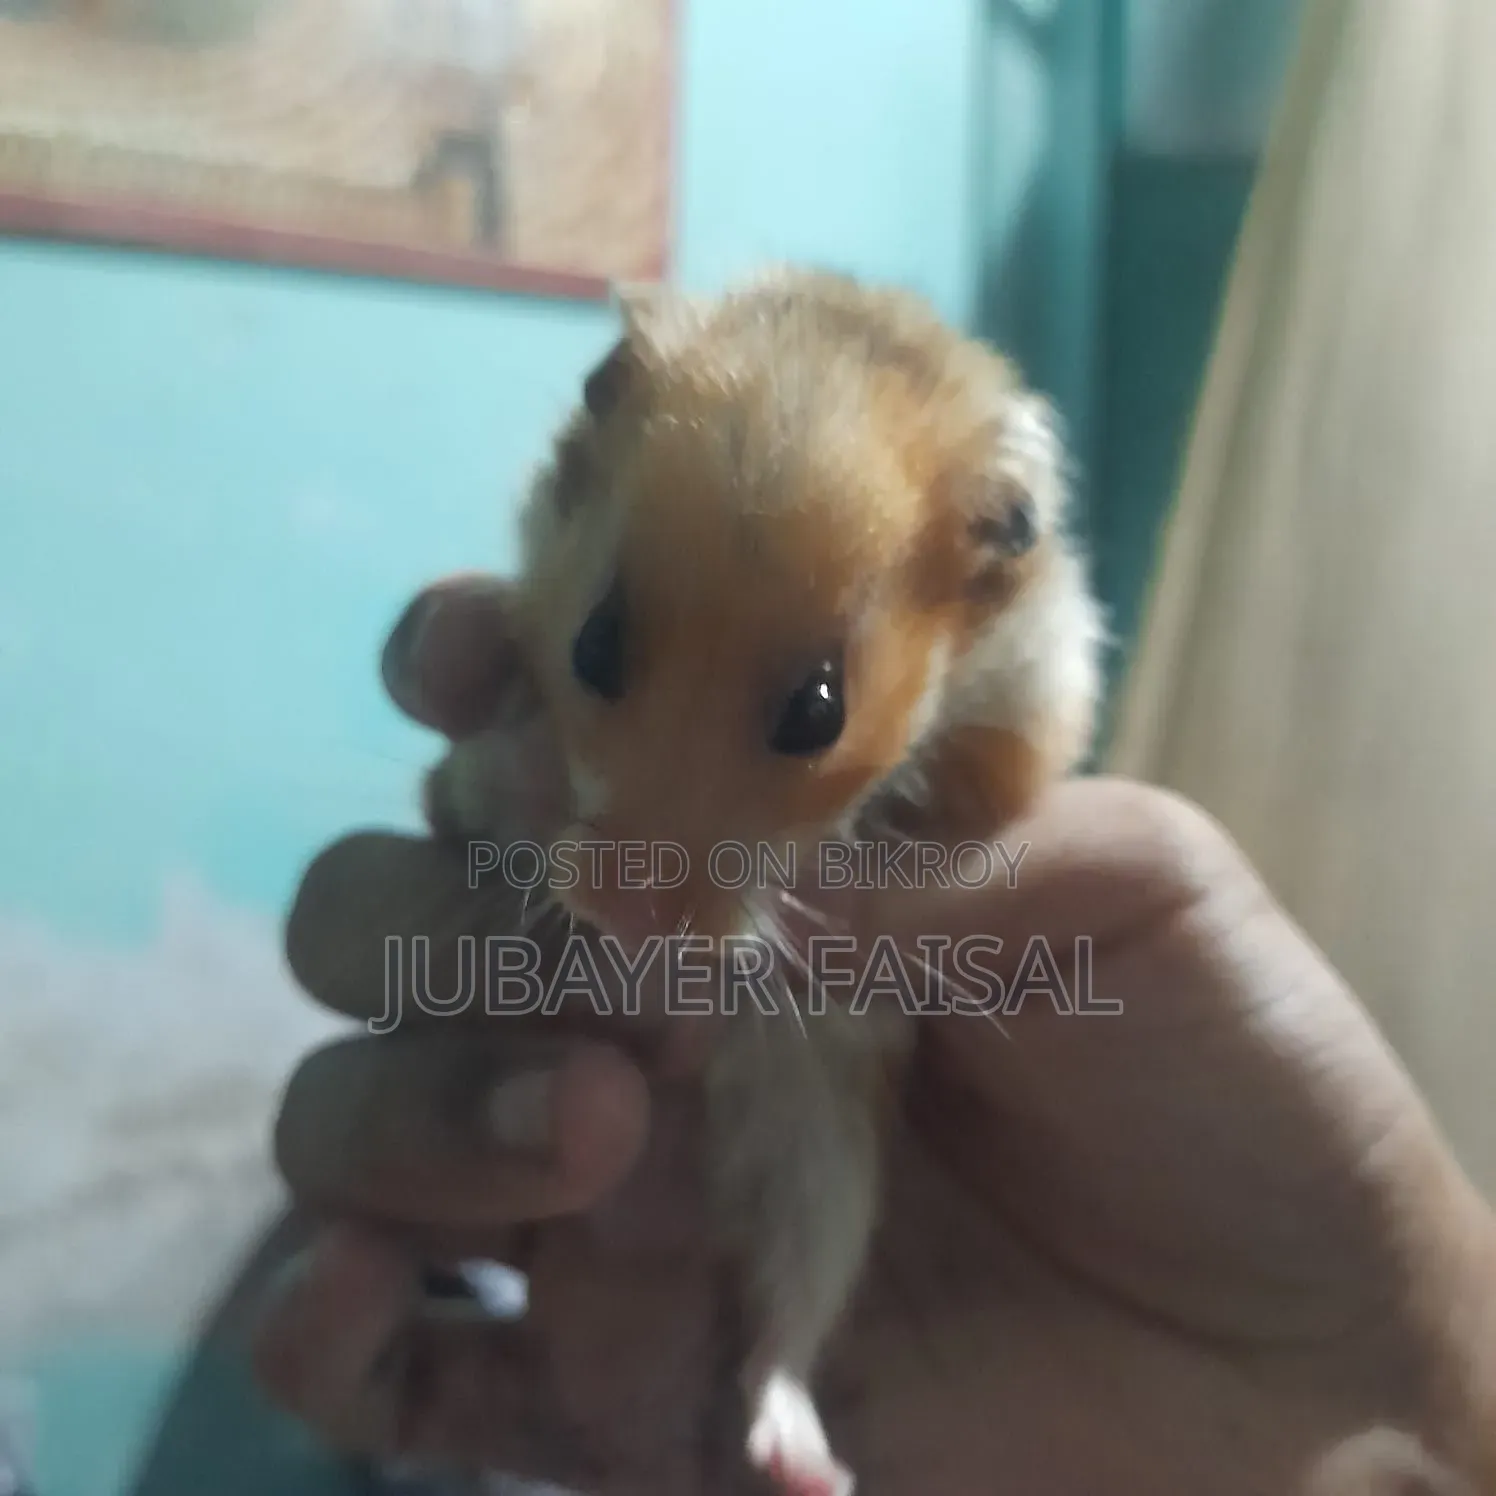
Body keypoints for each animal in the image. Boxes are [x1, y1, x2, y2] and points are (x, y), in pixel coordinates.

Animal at [420, 266, 1105, 1496]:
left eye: (818, 709)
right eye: (594, 644)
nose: (633, 922)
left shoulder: (1033, 718)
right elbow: (487, 773)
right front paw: (524, 781)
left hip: (826, 1162)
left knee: (787, 1315)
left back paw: (801, 1460)